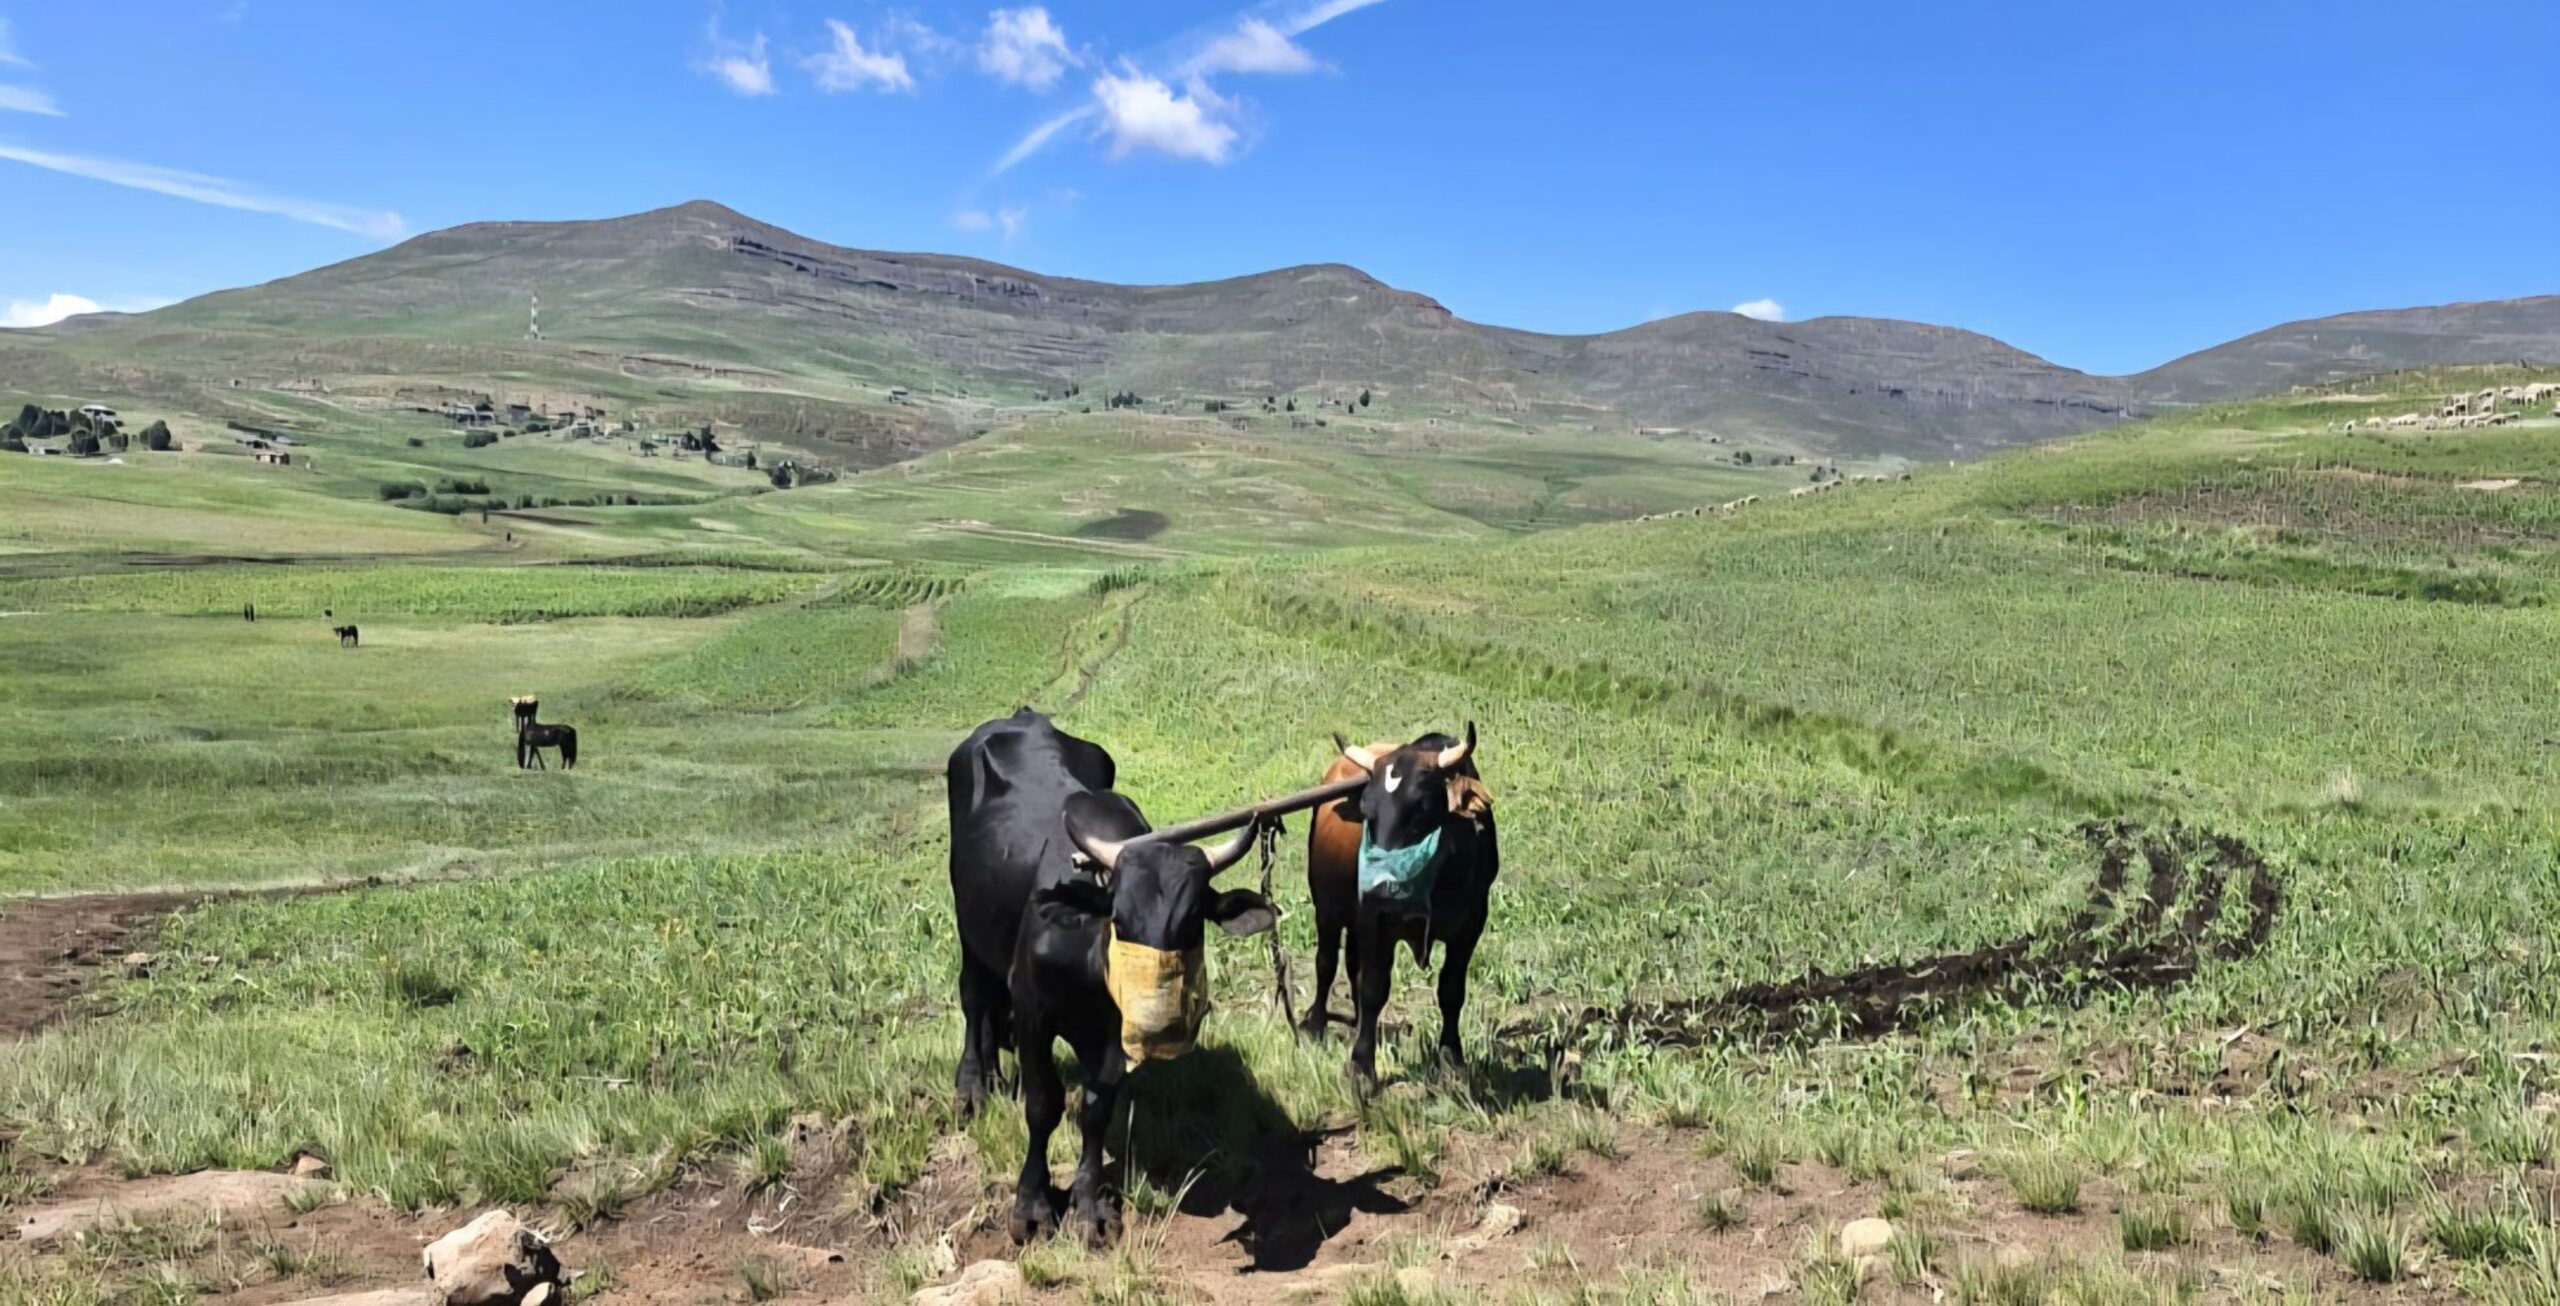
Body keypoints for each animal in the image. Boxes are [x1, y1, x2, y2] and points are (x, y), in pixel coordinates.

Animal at [946, 709, 1280, 1244]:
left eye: (1193, 920)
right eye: (1119, 918)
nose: (1159, 1024)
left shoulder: (1110, 1038)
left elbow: (1095, 1109)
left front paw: (1088, 1206)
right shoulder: (1034, 1012)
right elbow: (1043, 1105)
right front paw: (1032, 1204)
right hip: (968, 924)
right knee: (975, 996)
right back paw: (973, 1085)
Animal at [1317, 725, 1498, 1085]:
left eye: (1421, 809)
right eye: (1367, 813)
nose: (1378, 889)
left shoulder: (1471, 926)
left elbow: (1451, 990)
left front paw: (1451, 1057)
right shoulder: (1377, 922)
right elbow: (1374, 988)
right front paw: (1362, 1066)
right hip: (1326, 908)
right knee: (1325, 963)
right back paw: (1312, 1025)